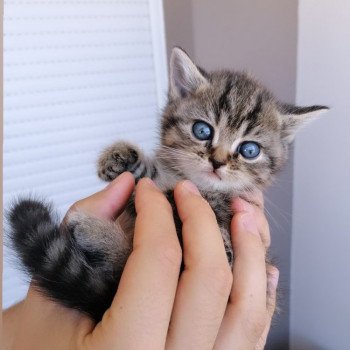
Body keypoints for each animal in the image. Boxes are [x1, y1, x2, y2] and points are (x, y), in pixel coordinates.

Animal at [7, 47, 328, 322]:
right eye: (202, 130)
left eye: (250, 150)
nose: (217, 162)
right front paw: (122, 158)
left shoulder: (231, 254)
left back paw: (96, 233)